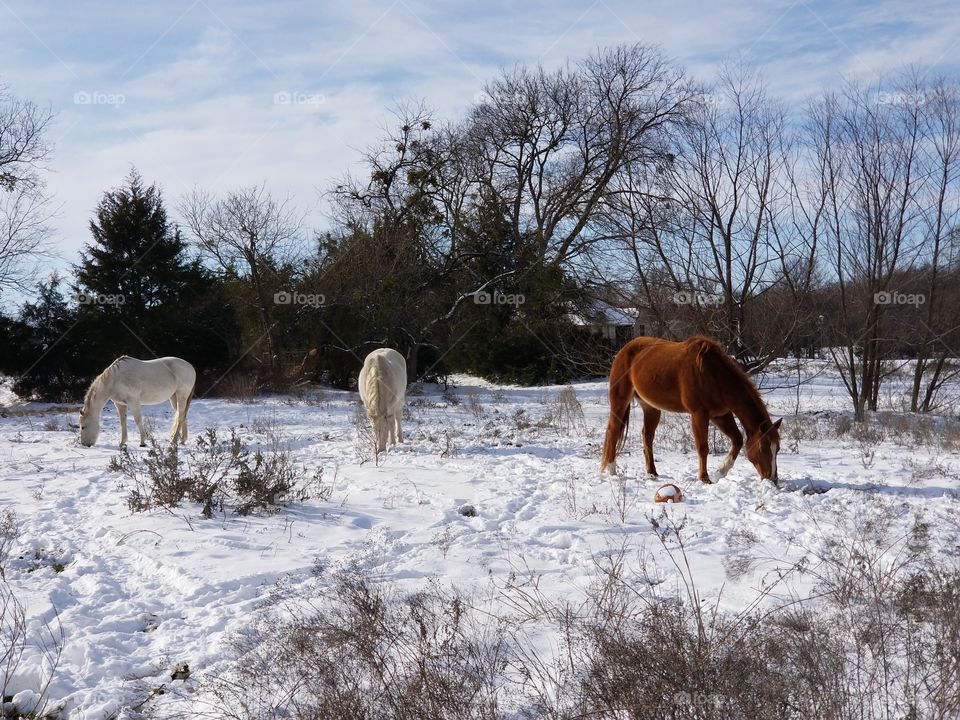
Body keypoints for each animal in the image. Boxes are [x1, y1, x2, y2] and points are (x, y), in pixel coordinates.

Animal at [600, 336, 780, 484]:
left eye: (777, 448)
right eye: (763, 448)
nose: (772, 479)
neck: (713, 374)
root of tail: (624, 349)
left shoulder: (720, 414)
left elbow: (737, 439)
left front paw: (720, 472)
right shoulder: (699, 414)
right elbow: (703, 447)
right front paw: (704, 478)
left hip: (651, 407)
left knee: (647, 436)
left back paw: (652, 473)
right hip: (620, 400)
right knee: (613, 431)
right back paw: (612, 470)